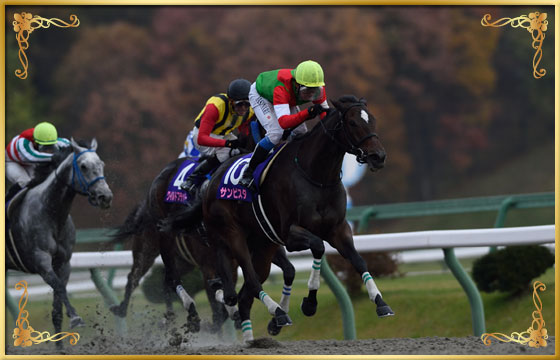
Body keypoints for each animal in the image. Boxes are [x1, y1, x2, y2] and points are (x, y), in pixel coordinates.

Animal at [5, 139, 112, 346]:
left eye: (102, 164)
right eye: (83, 166)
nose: (105, 196)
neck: (51, 212)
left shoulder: (63, 264)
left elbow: (57, 311)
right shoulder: (41, 262)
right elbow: (60, 288)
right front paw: (76, 317)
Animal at [166, 94, 394, 342]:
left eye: (372, 120)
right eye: (352, 123)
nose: (378, 156)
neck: (316, 175)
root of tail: (212, 181)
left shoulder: (338, 230)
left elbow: (358, 260)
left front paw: (380, 302)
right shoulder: (291, 234)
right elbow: (318, 246)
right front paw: (309, 303)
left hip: (262, 247)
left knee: (240, 296)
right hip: (233, 235)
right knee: (248, 282)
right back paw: (277, 312)